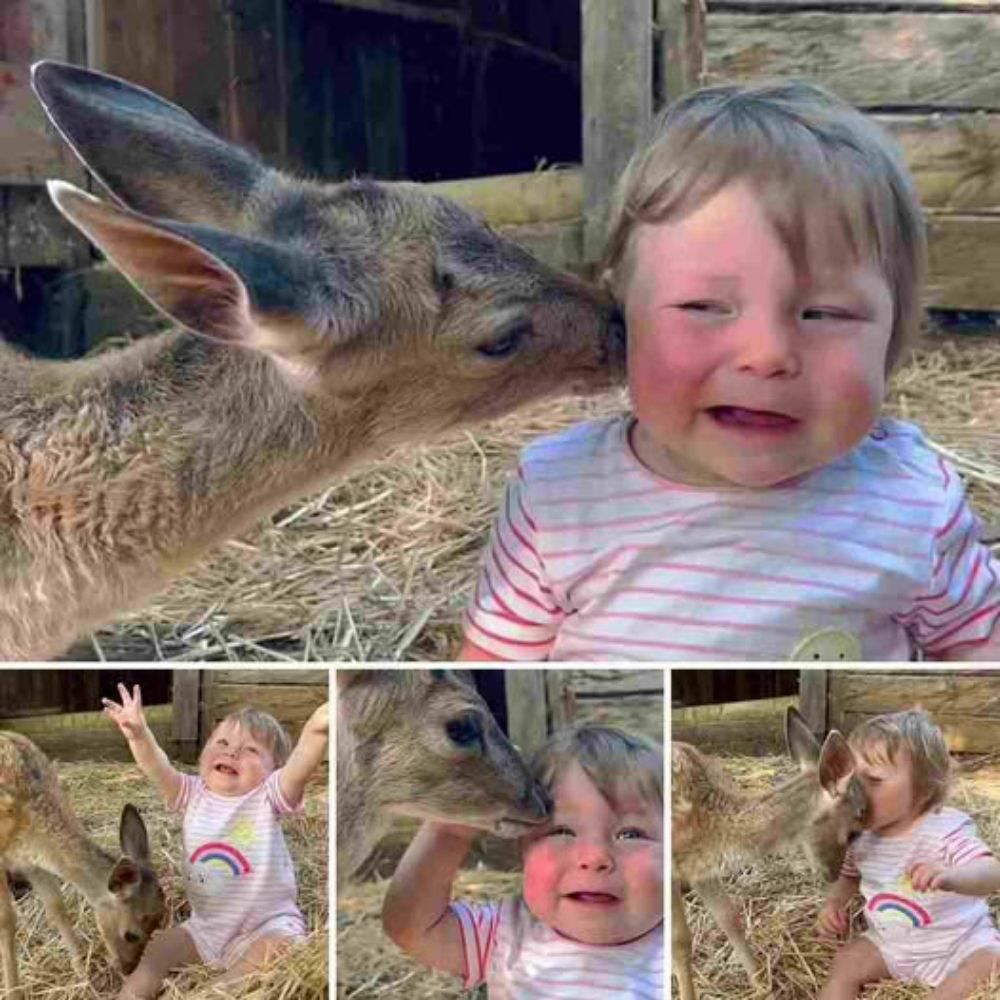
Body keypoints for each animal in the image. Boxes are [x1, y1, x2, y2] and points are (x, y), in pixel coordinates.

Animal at [0, 728, 164, 1000]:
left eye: (156, 927)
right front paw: (13, 991)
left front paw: (82, 970)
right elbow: (6, 920)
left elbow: (56, 907)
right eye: (131, 935)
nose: (128, 969)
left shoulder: (32, 862)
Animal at [672, 708, 868, 996]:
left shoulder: (701, 867)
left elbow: (730, 919)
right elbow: (679, 943)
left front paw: (760, 983)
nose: (833, 874)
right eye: (854, 832)